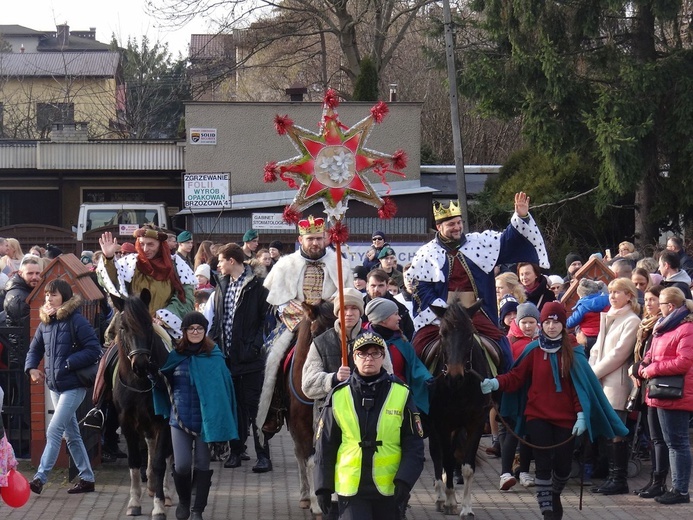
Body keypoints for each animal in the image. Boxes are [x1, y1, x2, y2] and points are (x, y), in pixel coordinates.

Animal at [111, 290, 174, 516]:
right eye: (123, 327)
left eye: (147, 323)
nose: (140, 364)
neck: (139, 382)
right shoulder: (127, 422)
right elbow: (134, 462)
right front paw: (134, 503)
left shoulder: (163, 421)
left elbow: (160, 462)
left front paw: (159, 506)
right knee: (149, 445)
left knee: (166, 455)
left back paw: (165, 492)